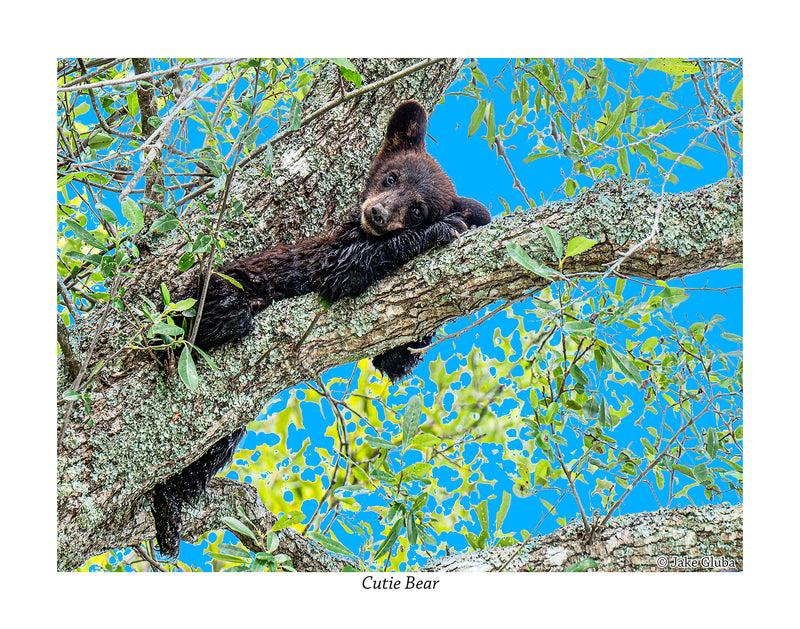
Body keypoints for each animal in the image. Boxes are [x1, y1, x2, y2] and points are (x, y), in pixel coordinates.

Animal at [151, 99, 491, 559]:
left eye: (418, 207)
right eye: (391, 177)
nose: (378, 213)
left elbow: (392, 360)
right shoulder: (326, 251)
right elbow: (345, 265)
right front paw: (444, 229)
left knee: (210, 447)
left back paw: (170, 504)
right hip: (203, 296)